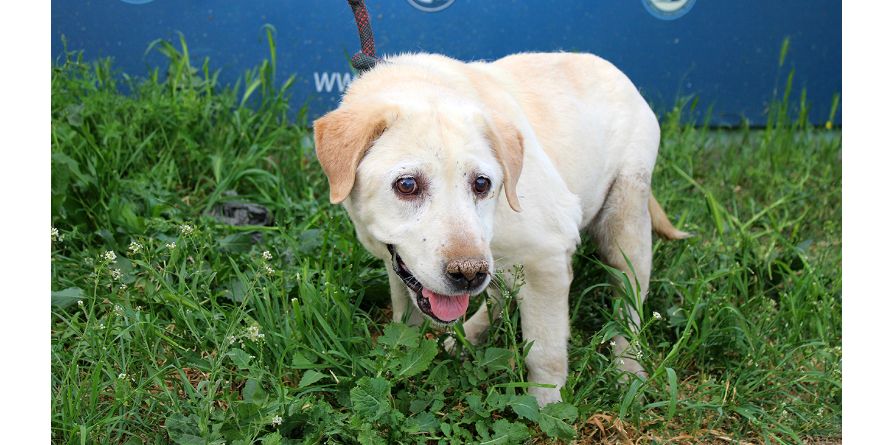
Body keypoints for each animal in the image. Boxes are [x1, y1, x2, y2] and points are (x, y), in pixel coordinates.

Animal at [316, 52, 692, 406]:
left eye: (482, 183)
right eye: (407, 185)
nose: (467, 274)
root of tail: (618, 73)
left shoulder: (548, 260)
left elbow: (545, 352)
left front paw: (546, 406)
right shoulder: (404, 267)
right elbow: (405, 318)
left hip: (624, 227)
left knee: (630, 307)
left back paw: (629, 371)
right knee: (500, 294)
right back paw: (468, 336)